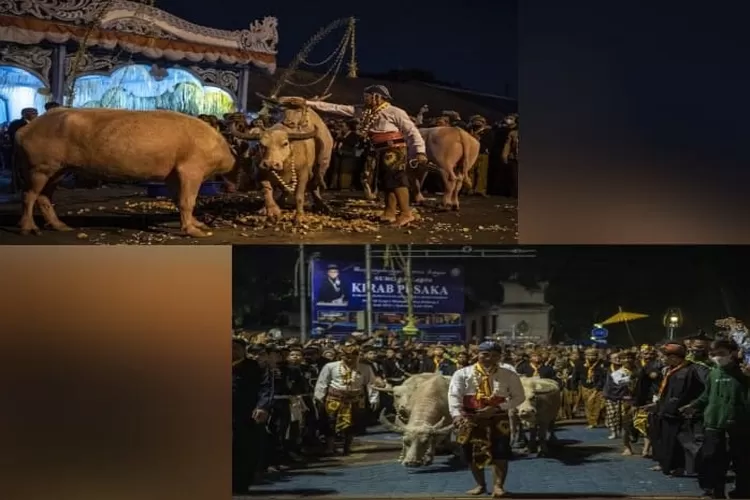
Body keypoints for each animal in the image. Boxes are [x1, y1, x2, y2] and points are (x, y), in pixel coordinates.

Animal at [15, 107, 241, 236]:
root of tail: (25, 130)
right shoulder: (190, 171)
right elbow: (188, 201)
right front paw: (193, 230)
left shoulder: (173, 176)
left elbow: (179, 200)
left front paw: (197, 223)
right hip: (39, 169)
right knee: (29, 195)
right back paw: (28, 228)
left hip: (58, 170)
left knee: (44, 197)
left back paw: (59, 225)